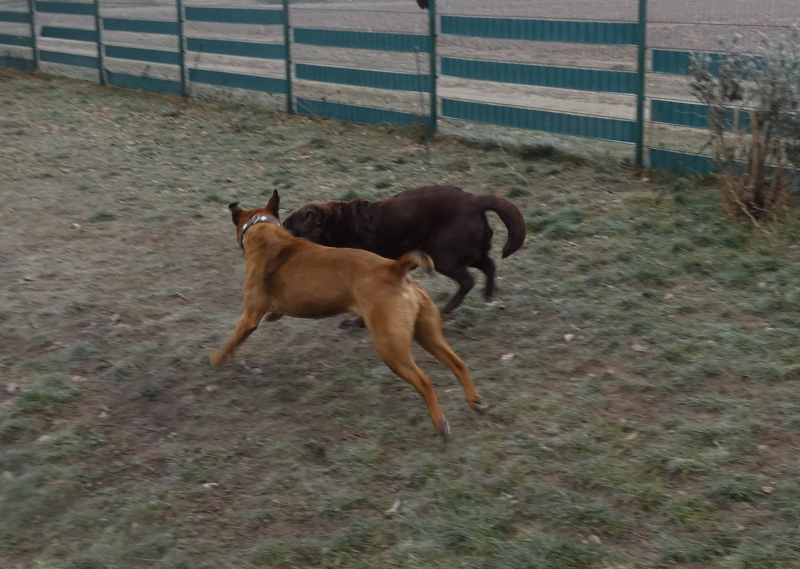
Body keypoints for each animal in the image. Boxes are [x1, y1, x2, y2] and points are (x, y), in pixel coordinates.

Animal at [209, 190, 487, 438]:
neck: (267, 235)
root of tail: (395, 269)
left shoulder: (249, 317)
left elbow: (231, 342)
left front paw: (214, 359)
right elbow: (273, 313)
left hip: (391, 348)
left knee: (424, 381)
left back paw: (440, 423)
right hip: (428, 334)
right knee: (458, 363)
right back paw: (475, 401)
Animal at [282, 185, 526, 313]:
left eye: (291, 227)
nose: (279, 226)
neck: (335, 226)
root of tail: (475, 200)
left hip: (443, 255)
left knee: (468, 280)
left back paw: (447, 308)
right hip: (469, 251)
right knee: (489, 265)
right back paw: (487, 294)